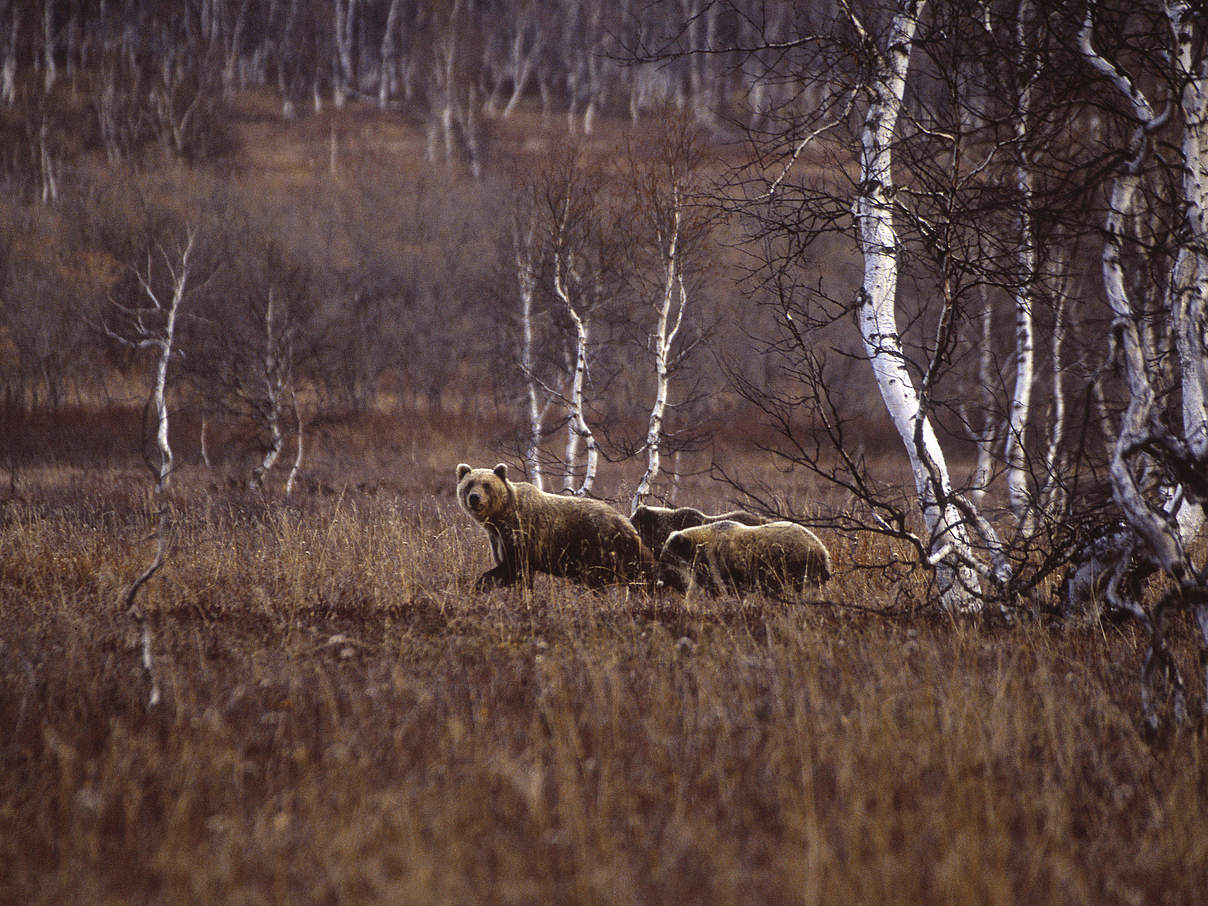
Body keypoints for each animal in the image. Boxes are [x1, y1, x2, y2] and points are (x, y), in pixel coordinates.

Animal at [456, 463, 657, 591]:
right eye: (469, 484)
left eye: (486, 484)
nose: (474, 497)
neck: (501, 516)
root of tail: (625, 521)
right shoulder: (498, 539)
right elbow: (506, 569)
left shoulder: (523, 533)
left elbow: (518, 570)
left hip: (599, 548)